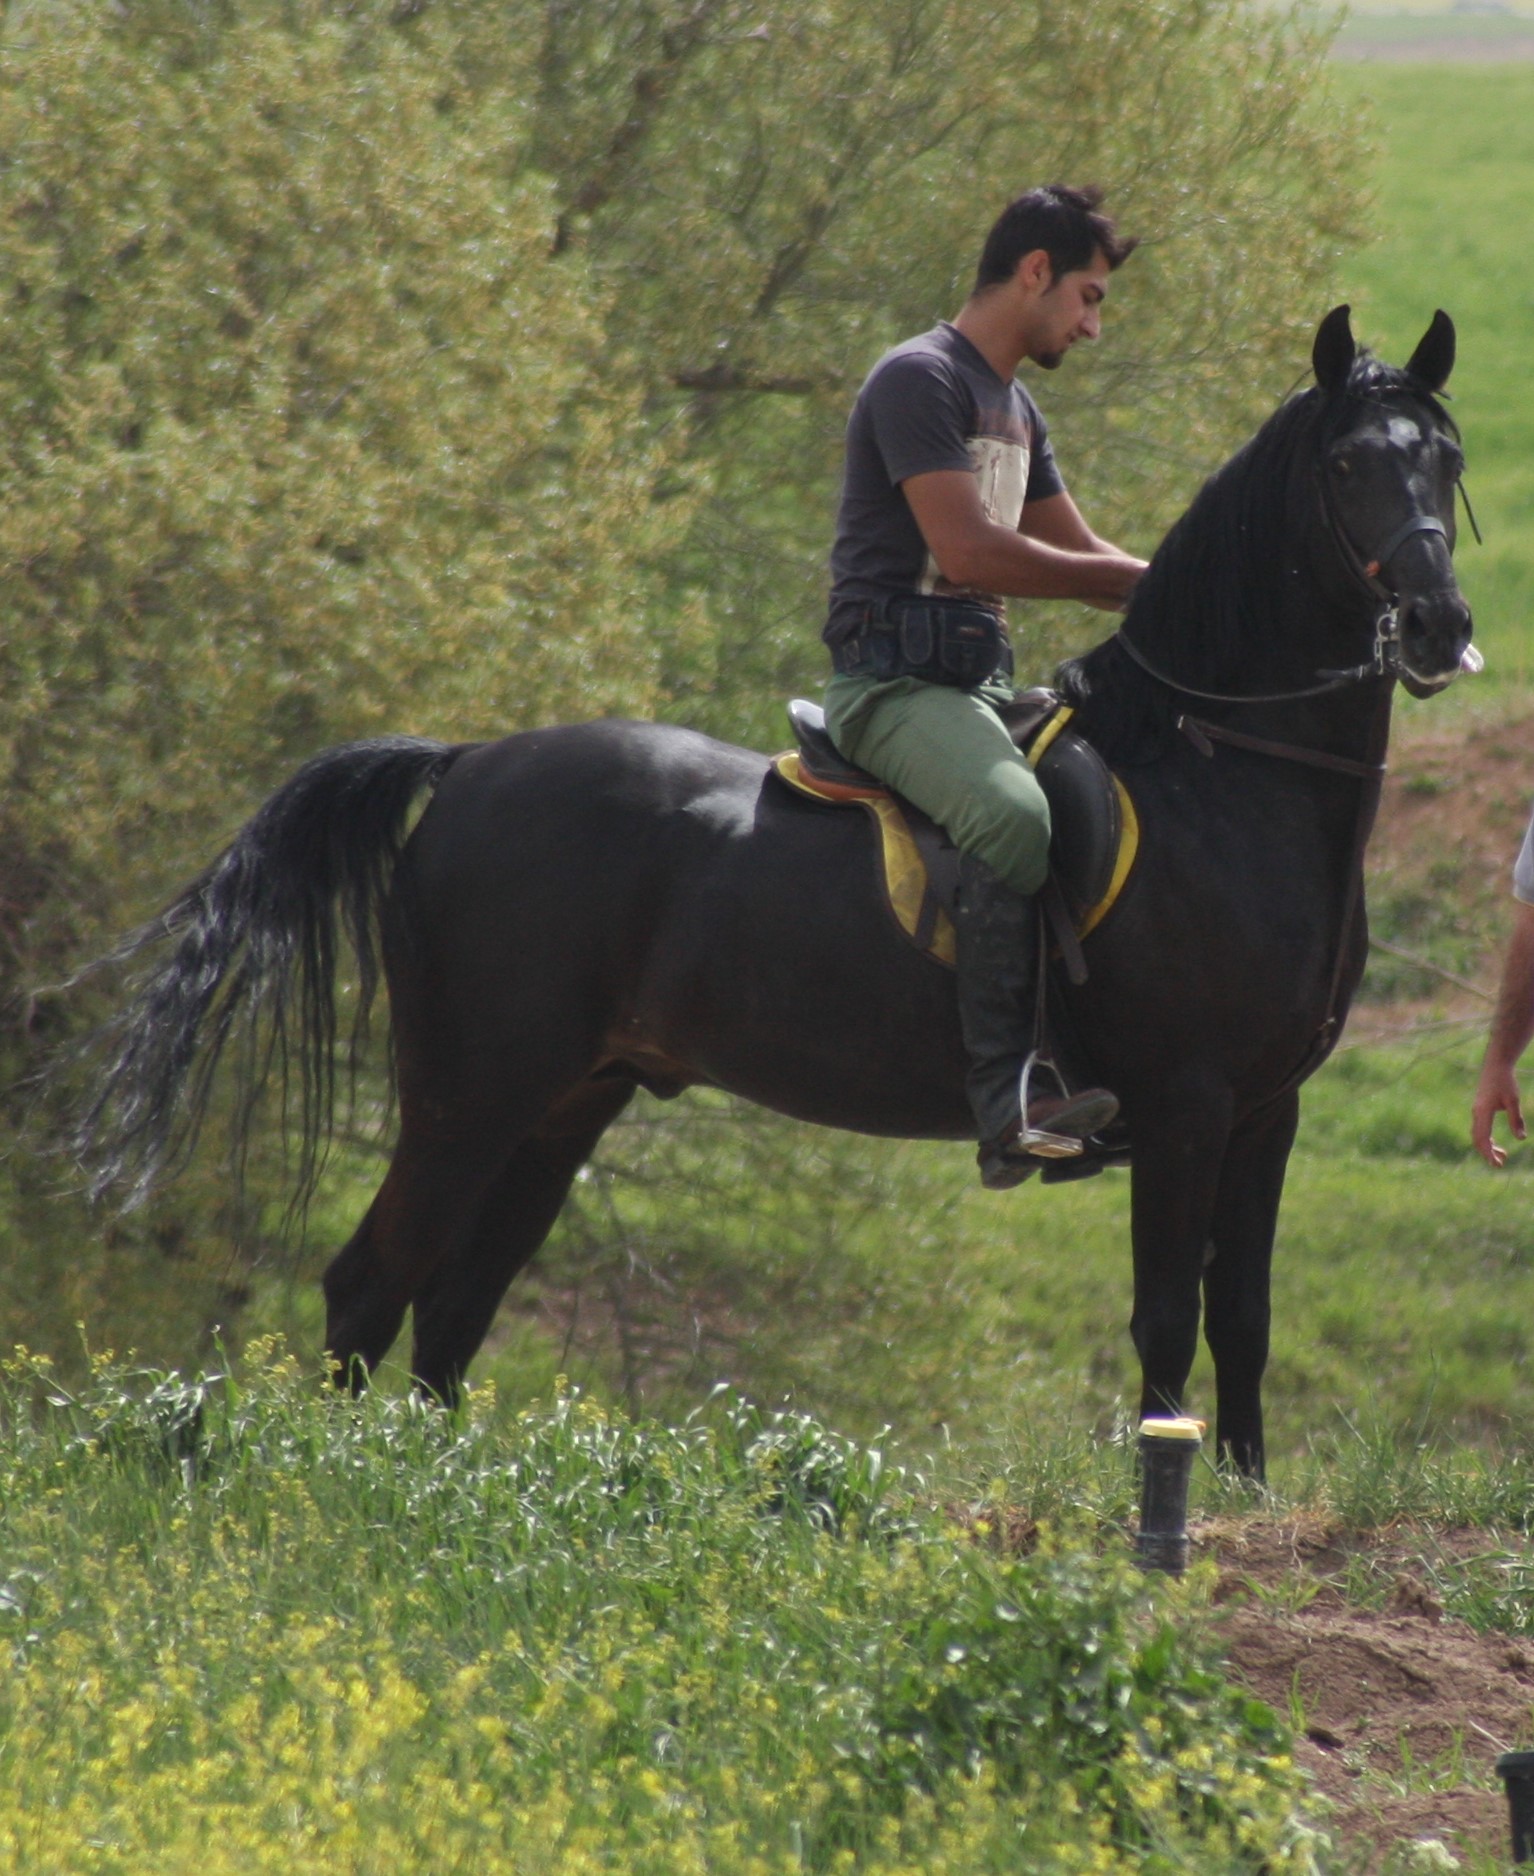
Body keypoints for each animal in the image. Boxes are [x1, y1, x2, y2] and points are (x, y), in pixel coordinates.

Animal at [75, 306, 1473, 1476]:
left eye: (1445, 461)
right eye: (1348, 466)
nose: (1440, 626)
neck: (1218, 774)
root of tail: (466, 761)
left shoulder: (1264, 1112)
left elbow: (1243, 1316)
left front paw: (1241, 1493)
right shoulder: (1184, 1105)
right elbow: (1168, 1316)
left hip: (567, 1102)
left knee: (454, 1307)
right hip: (472, 1093)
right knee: (372, 1284)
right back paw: (358, 1488)